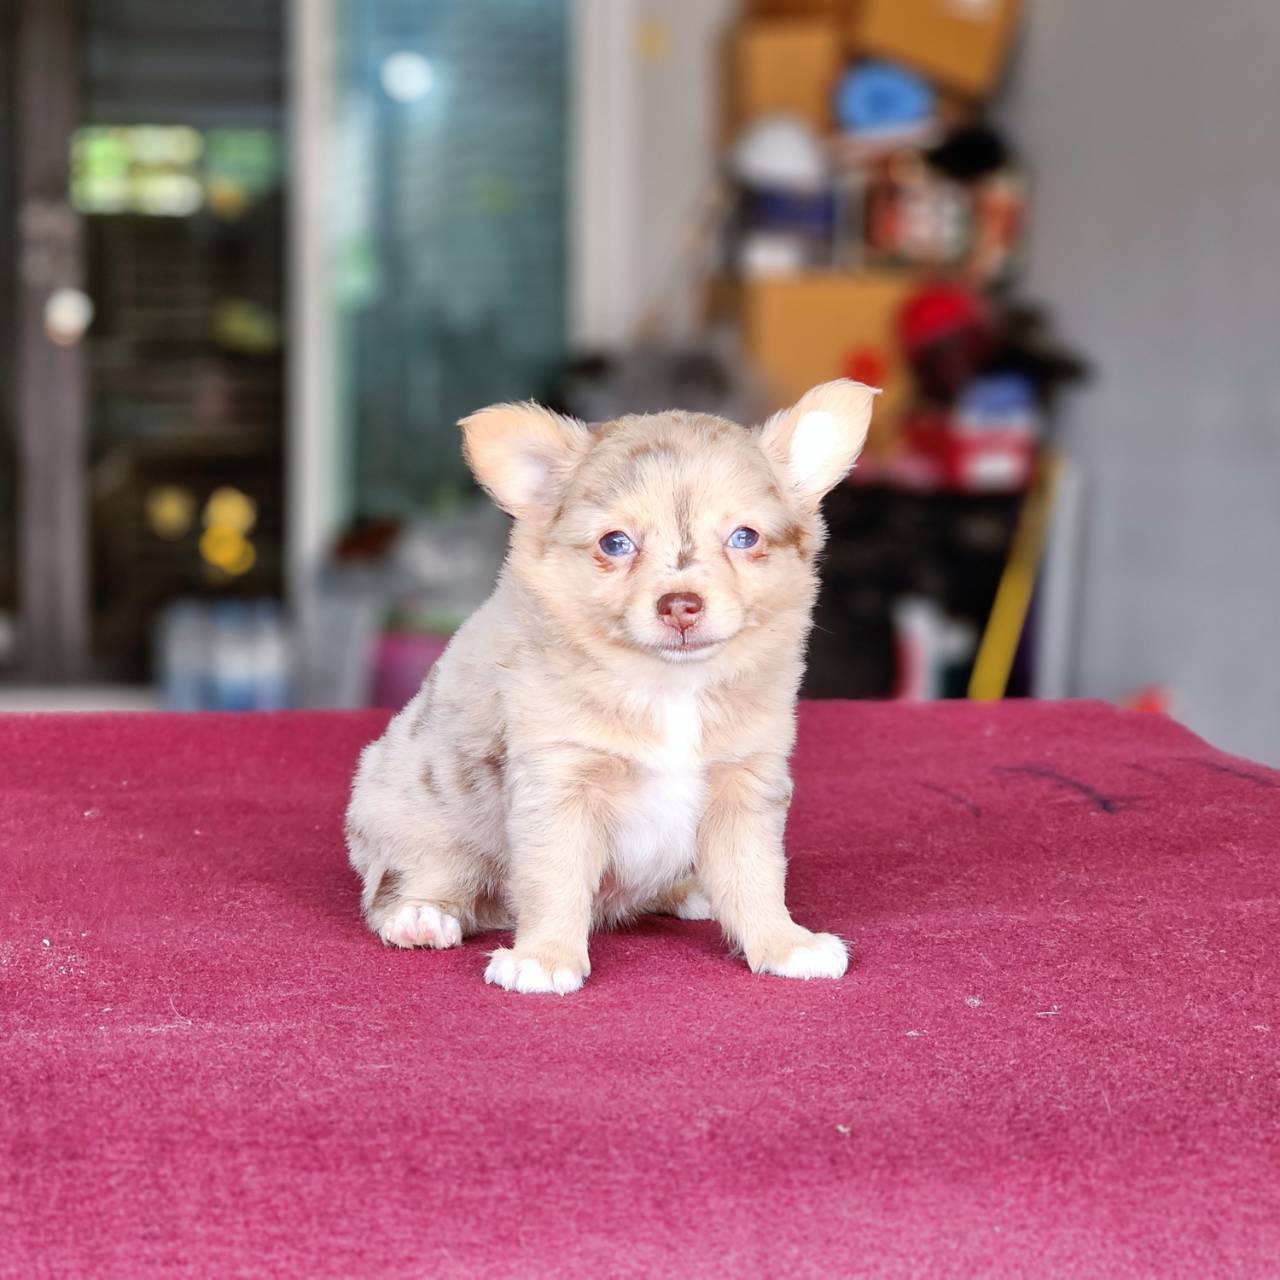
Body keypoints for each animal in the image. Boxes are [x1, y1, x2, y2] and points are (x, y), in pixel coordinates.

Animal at [345, 379, 878, 993]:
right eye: (615, 543)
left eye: (744, 537)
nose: (681, 604)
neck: (670, 687)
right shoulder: (558, 788)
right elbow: (554, 881)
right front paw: (546, 957)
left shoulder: (746, 786)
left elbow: (756, 876)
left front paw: (784, 943)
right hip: (415, 824)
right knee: (404, 883)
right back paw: (421, 916)